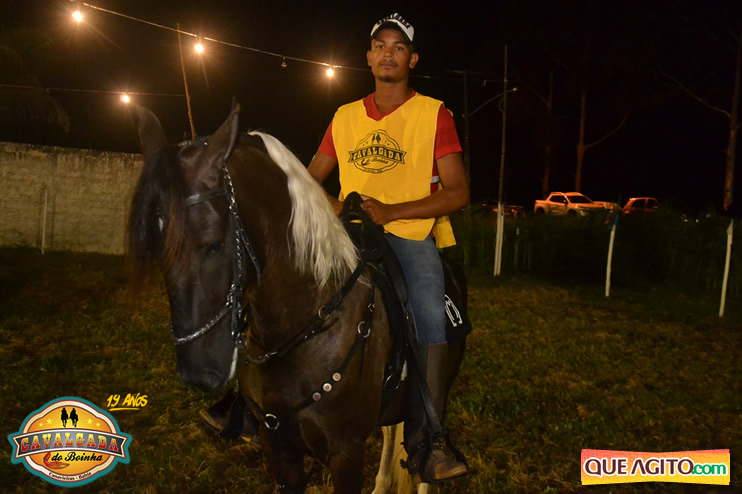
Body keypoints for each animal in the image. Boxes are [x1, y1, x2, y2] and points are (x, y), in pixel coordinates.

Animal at [127, 102, 468, 493]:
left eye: (214, 244)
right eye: (157, 246)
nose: (198, 373)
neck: (308, 323)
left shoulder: (346, 452)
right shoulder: (278, 446)